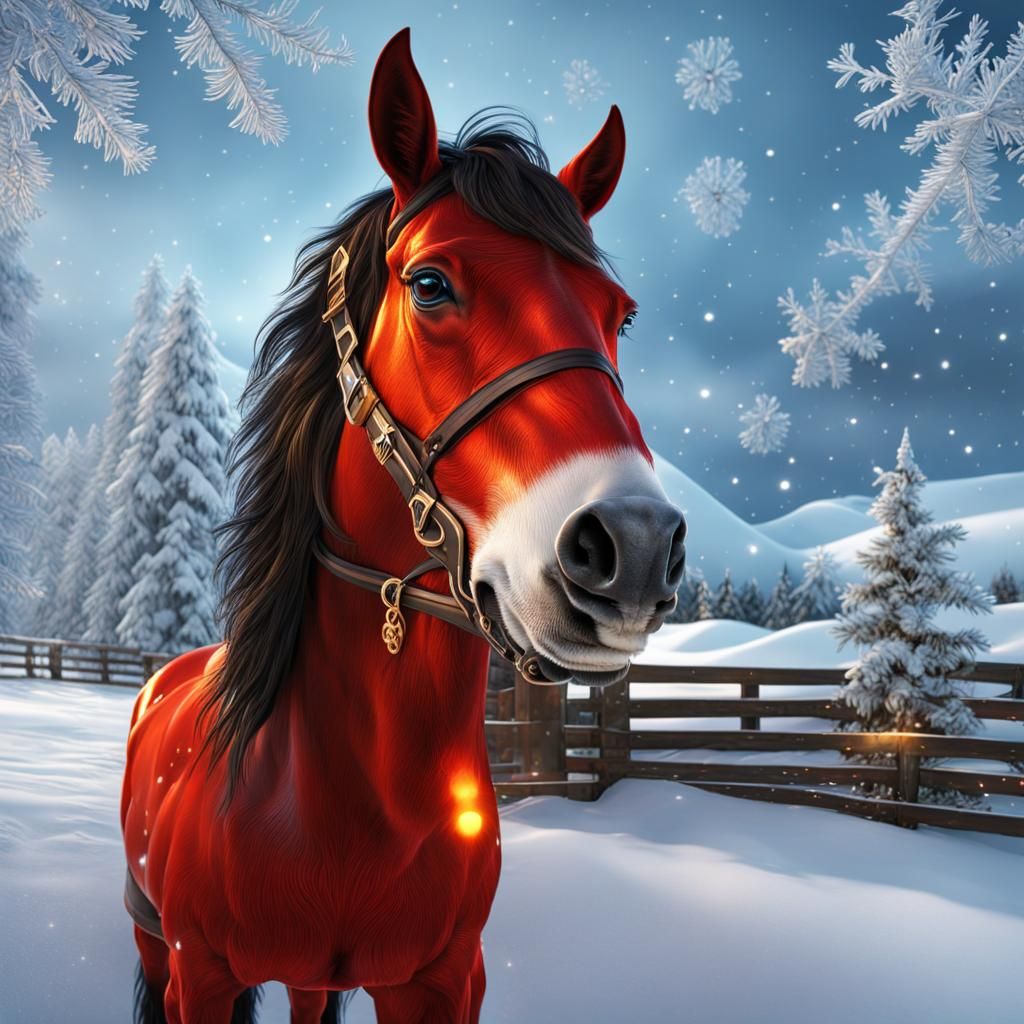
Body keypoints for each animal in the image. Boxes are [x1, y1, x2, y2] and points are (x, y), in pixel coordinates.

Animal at [122, 28, 686, 1024]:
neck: (352, 802)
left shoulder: (444, 980)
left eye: (620, 314)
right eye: (429, 284)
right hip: (153, 938)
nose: (634, 548)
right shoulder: (200, 973)